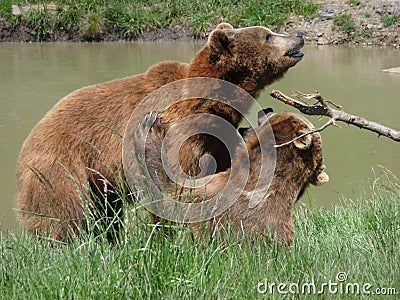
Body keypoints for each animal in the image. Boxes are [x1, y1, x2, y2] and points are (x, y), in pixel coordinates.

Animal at [15, 21, 304, 241]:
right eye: (267, 35)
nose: (299, 36)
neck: (207, 104)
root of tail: (29, 138)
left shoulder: (214, 139)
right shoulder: (178, 134)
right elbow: (174, 185)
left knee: (105, 212)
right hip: (61, 165)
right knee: (62, 210)